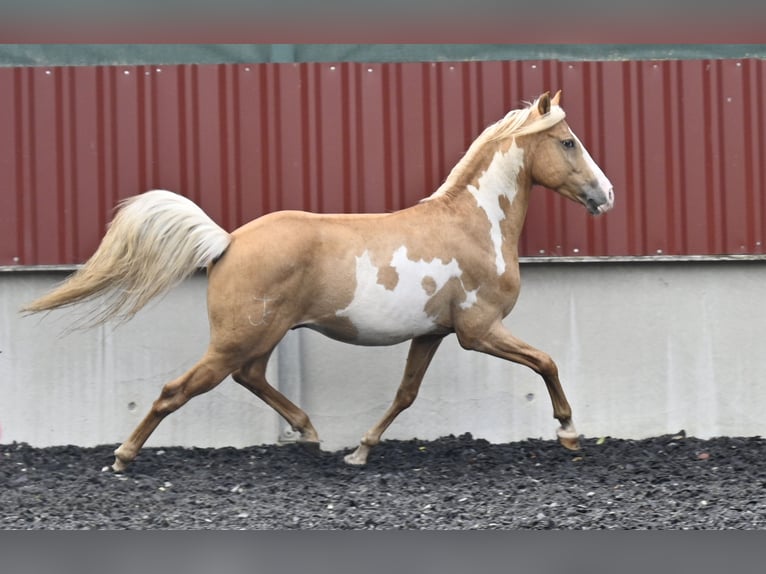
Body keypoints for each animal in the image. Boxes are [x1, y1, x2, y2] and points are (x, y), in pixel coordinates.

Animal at [21, 91, 616, 472]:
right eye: (568, 141)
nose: (606, 195)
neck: (475, 223)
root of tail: (227, 241)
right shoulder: (479, 331)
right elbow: (546, 361)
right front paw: (569, 435)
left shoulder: (432, 334)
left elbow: (405, 394)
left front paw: (359, 451)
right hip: (237, 338)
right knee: (178, 390)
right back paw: (121, 459)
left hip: (262, 335)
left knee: (250, 377)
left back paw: (309, 433)